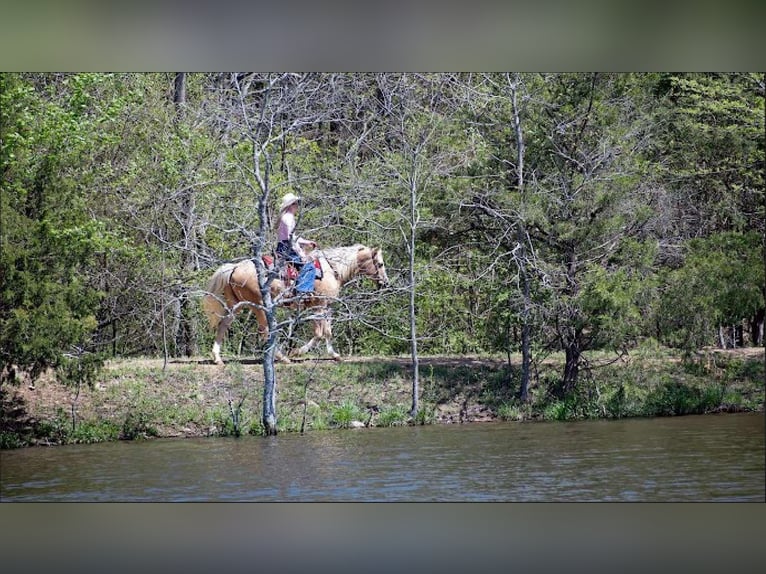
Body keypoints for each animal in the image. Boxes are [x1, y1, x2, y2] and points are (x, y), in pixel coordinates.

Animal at [203, 244, 389, 365]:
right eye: (380, 264)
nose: (385, 283)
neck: (332, 269)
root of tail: (234, 267)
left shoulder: (326, 307)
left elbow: (327, 332)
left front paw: (335, 355)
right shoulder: (318, 307)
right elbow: (319, 333)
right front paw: (296, 352)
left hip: (236, 305)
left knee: (223, 325)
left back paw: (217, 358)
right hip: (260, 306)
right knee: (264, 332)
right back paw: (283, 357)